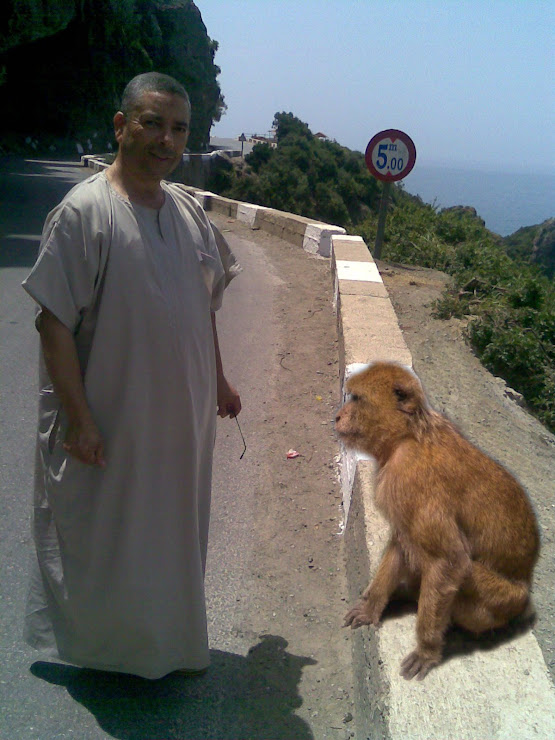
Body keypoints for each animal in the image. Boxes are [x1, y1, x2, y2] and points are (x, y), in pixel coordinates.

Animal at [336, 362, 540, 680]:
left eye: (356, 399)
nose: (338, 416)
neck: (406, 437)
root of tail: (525, 590)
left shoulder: (409, 480)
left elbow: (450, 560)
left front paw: (427, 651)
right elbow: (401, 543)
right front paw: (373, 607)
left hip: (501, 599)